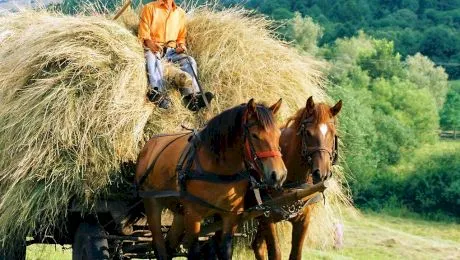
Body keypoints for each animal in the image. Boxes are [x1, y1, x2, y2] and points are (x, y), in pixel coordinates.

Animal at [134, 98, 288, 258]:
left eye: (278, 134)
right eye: (255, 135)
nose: (279, 175)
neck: (219, 169)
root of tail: (149, 145)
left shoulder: (230, 216)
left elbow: (225, 250)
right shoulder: (193, 215)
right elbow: (194, 251)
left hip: (179, 212)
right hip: (152, 203)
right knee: (159, 245)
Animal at [252, 97, 342, 260]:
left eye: (333, 134)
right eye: (308, 133)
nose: (322, 174)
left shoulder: (304, 219)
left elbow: (295, 254)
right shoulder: (268, 218)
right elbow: (275, 253)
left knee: (257, 246)